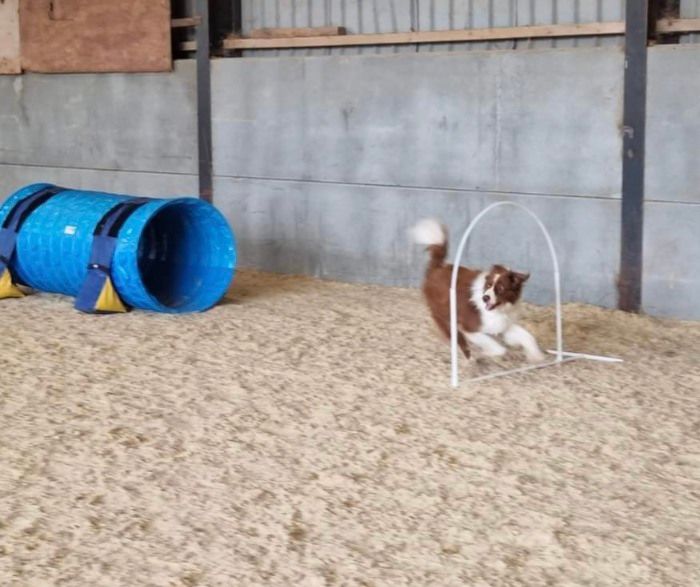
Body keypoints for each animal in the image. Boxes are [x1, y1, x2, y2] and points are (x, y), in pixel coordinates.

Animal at [410, 217, 548, 360]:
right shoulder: (471, 328)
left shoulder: (504, 325)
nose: (485, 297)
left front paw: (536, 355)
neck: (499, 310)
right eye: (488, 285)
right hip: (443, 313)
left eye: (501, 288)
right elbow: (499, 348)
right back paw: (467, 354)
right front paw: (486, 353)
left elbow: (528, 337)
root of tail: (437, 267)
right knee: (453, 334)